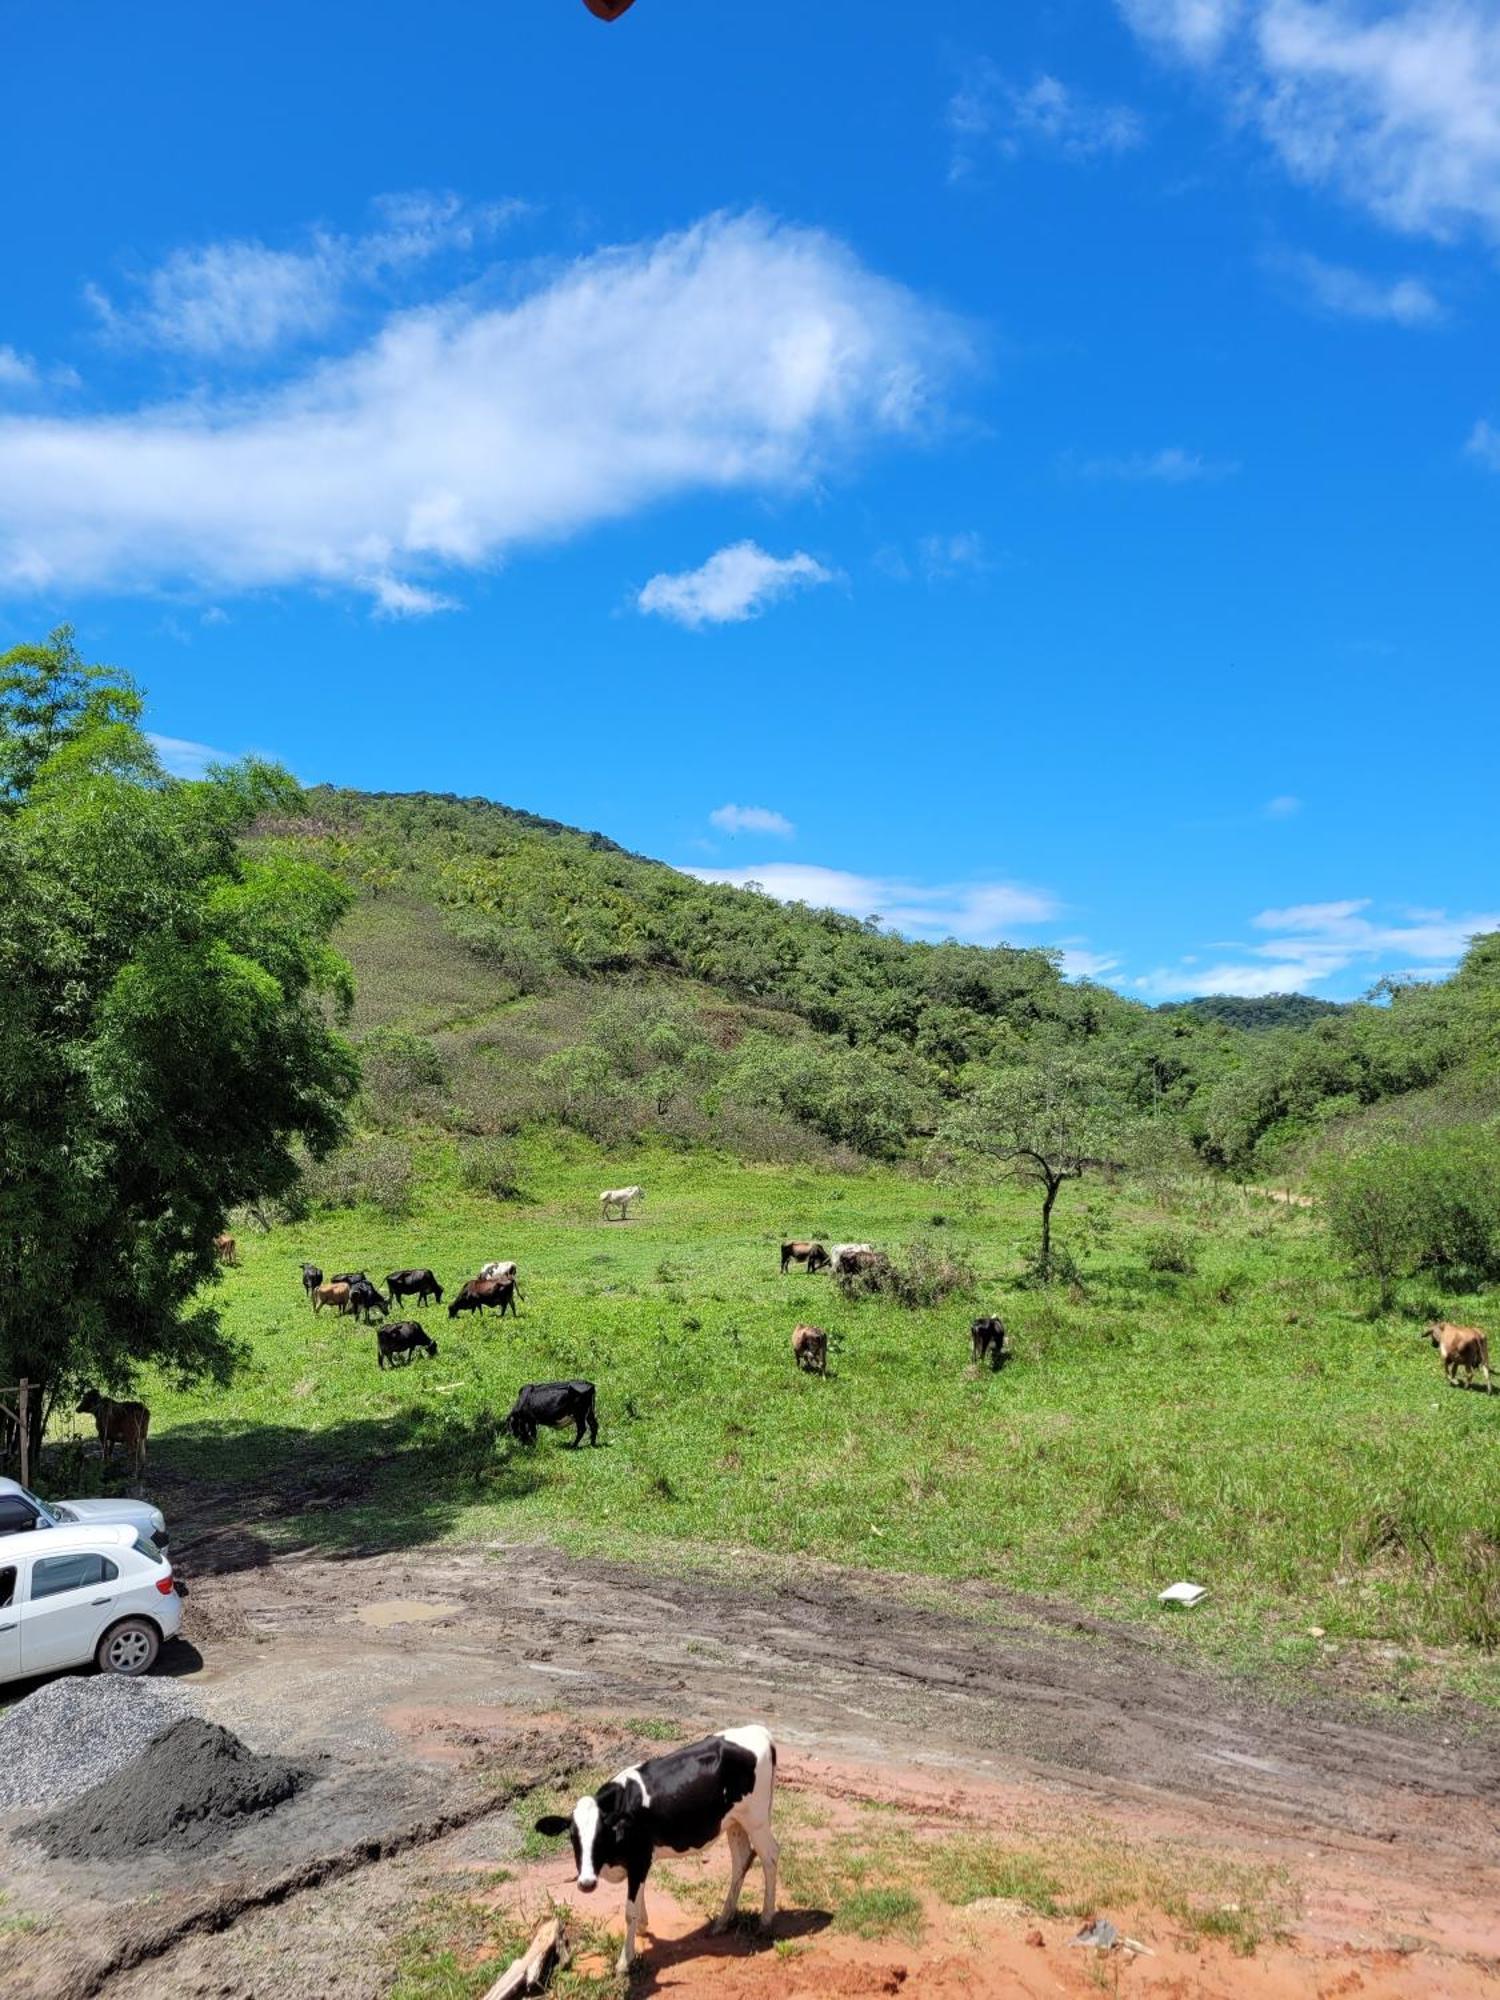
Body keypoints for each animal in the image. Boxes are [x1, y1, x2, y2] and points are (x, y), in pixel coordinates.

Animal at [536, 1728, 780, 1976]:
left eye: (601, 1834)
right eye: (572, 1837)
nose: (586, 1883)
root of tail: (759, 1730)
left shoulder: (640, 1859)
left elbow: (630, 1911)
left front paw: (625, 1960)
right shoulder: (637, 1863)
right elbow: (638, 1902)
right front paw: (642, 1927)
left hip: (756, 1820)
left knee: (770, 1856)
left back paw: (765, 1920)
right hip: (735, 1822)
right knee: (741, 1860)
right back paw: (723, 1920)